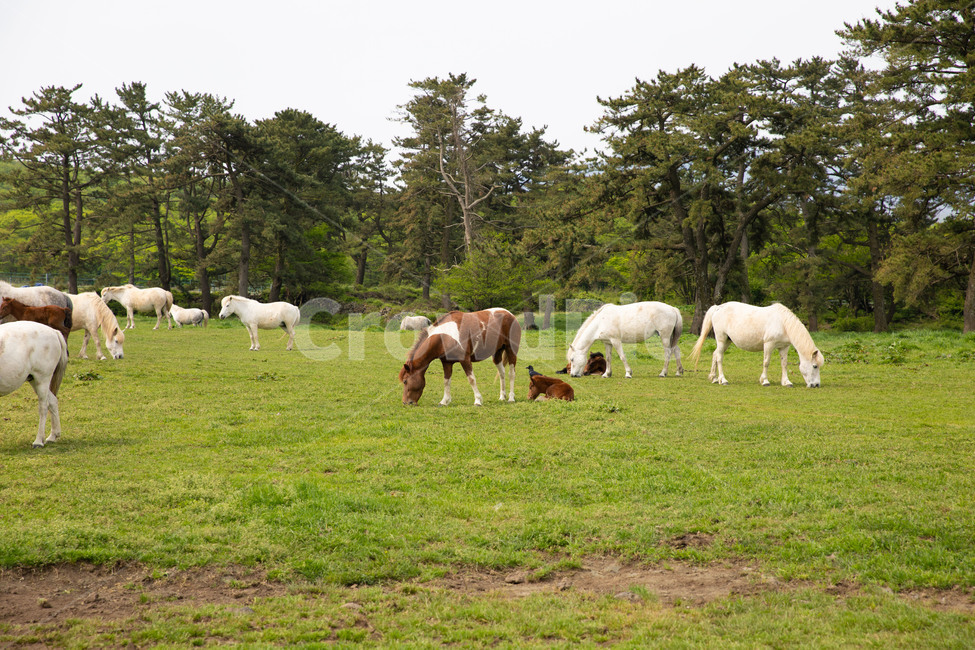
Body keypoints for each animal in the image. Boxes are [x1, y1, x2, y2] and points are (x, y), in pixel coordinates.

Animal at [689, 301, 824, 387]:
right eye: (815, 366)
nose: (816, 385)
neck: (783, 323)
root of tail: (718, 307)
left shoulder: (784, 347)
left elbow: (784, 364)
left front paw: (786, 382)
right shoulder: (769, 344)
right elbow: (766, 362)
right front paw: (765, 381)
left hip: (727, 341)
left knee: (715, 354)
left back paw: (714, 378)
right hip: (721, 339)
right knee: (719, 358)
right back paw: (723, 380)